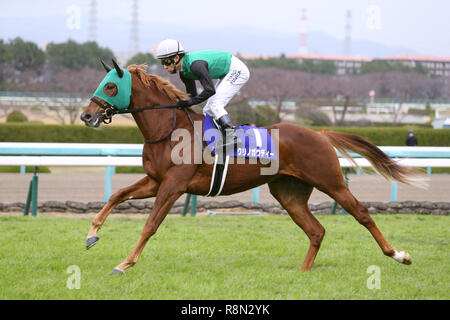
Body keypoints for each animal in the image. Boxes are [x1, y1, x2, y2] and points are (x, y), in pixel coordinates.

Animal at [81, 62, 422, 276]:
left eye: (110, 86)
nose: (86, 115)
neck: (169, 129)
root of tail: (321, 134)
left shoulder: (173, 185)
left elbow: (150, 225)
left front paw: (124, 264)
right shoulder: (154, 180)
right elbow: (117, 195)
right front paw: (92, 234)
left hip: (331, 182)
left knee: (362, 214)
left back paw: (399, 255)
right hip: (288, 193)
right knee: (316, 230)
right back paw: (303, 272)